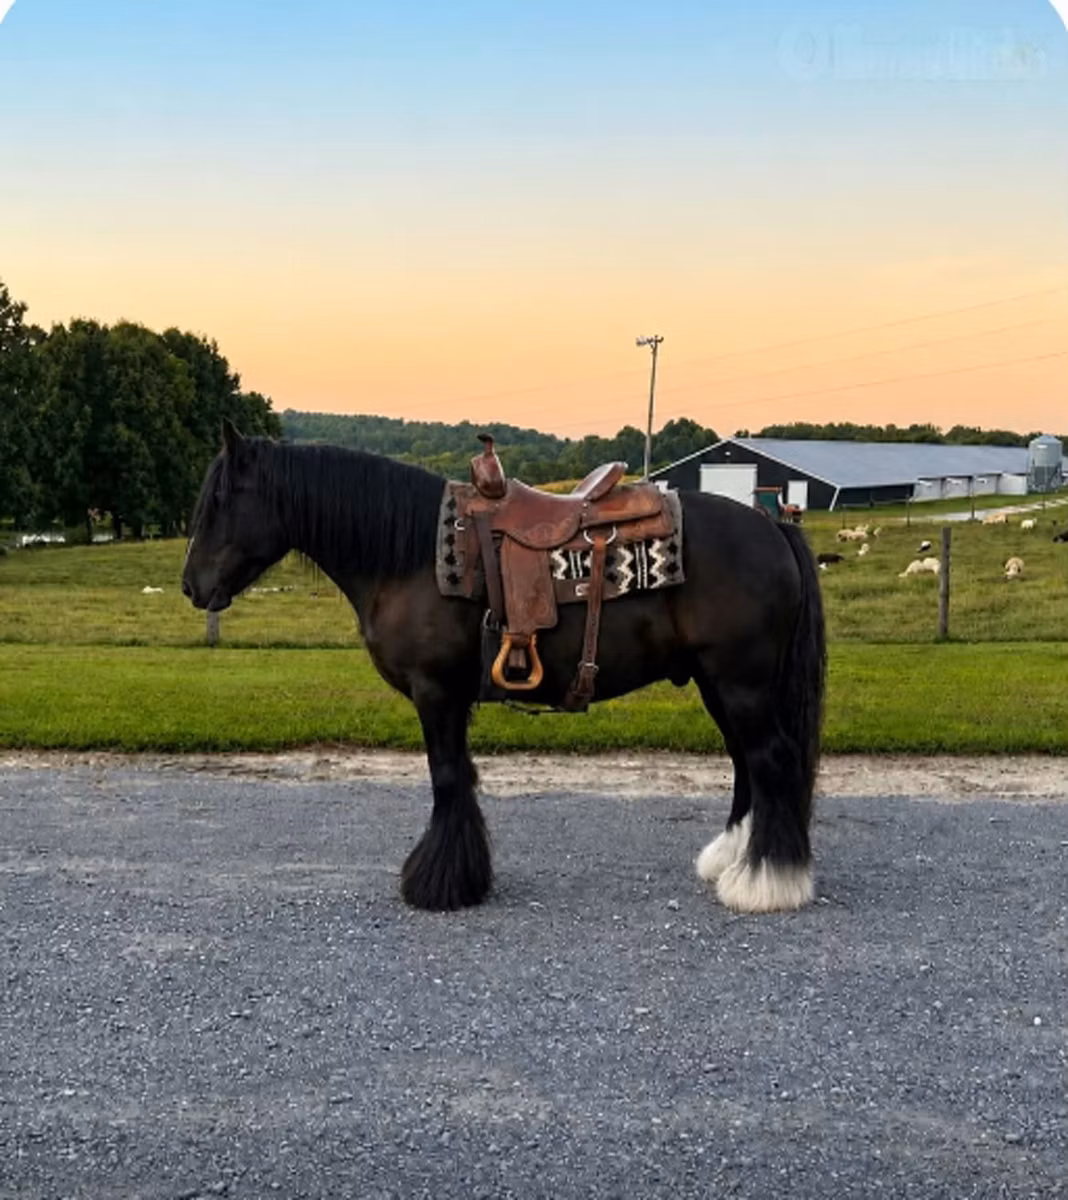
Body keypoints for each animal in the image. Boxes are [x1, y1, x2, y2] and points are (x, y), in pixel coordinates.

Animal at [182, 422, 826, 914]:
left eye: (219, 502)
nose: (192, 586)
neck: (411, 555)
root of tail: (773, 526)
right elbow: (460, 777)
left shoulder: (436, 692)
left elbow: (446, 778)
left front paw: (440, 884)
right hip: (718, 684)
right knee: (746, 765)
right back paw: (732, 859)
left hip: (741, 684)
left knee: (770, 759)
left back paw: (766, 882)